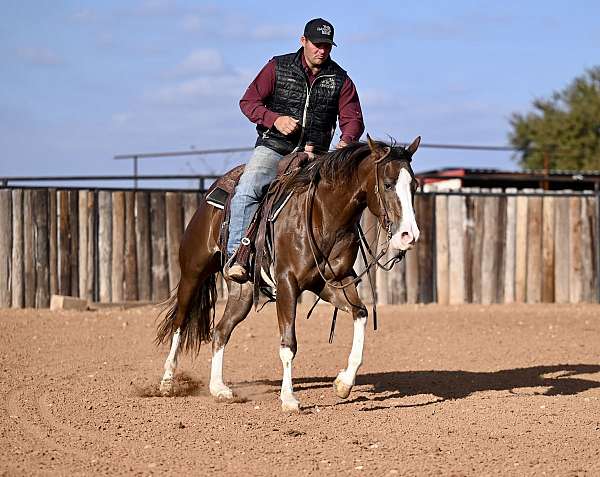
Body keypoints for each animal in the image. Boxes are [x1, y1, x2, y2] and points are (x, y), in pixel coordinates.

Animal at [157, 136, 420, 410]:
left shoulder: (333, 283)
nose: (409, 236)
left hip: (243, 292)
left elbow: (361, 313)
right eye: (388, 184)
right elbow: (288, 344)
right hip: (192, 273)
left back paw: (218, 388)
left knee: (220, 331)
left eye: (415, 185)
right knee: (179, 322)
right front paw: (289, 398)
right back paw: (167, 382)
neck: (323, 216)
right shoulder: (287, 283)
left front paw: (344, 383)